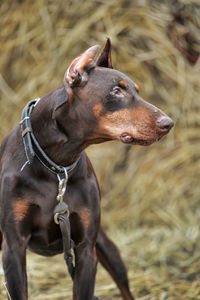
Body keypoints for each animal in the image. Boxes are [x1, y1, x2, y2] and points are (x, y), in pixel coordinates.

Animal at [0, 38, 173, 298]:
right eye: (116, 90)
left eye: (137, 91)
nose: (168, 123)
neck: (56, 166)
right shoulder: (13, 247)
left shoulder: (86, 250)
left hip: (106, 247)